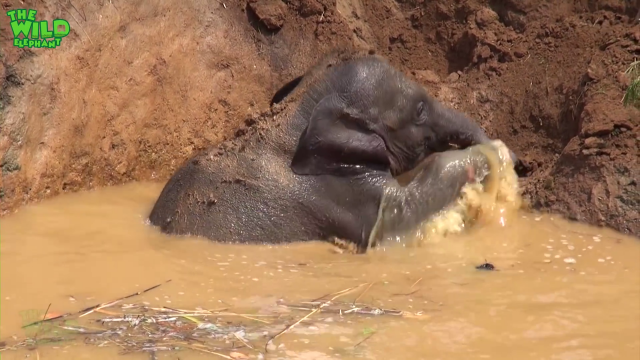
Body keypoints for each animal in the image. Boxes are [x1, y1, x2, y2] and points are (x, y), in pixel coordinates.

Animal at [148, 54, 512, 253]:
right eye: (420, 110)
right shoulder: (334, 189)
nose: (511, 156)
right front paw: (490, 156)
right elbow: (399, 214)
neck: (298, 110)